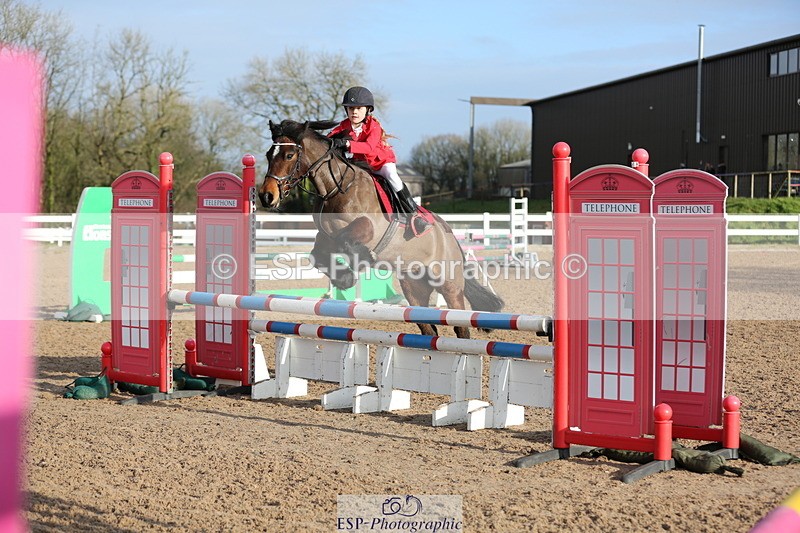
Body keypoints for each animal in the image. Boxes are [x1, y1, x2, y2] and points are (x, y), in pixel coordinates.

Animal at [258, 119, 504, 339]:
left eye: (289, 155)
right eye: (269, 155)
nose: (267, 196)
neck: (335, 188)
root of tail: (451, 237)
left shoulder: (366, 228)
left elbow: (347, 240)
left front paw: (363, 259)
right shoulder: (326, 237)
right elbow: (317, 256)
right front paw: (345, 279)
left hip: (449, 286)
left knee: (461, 327)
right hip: (414, 287)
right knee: (428, 328)